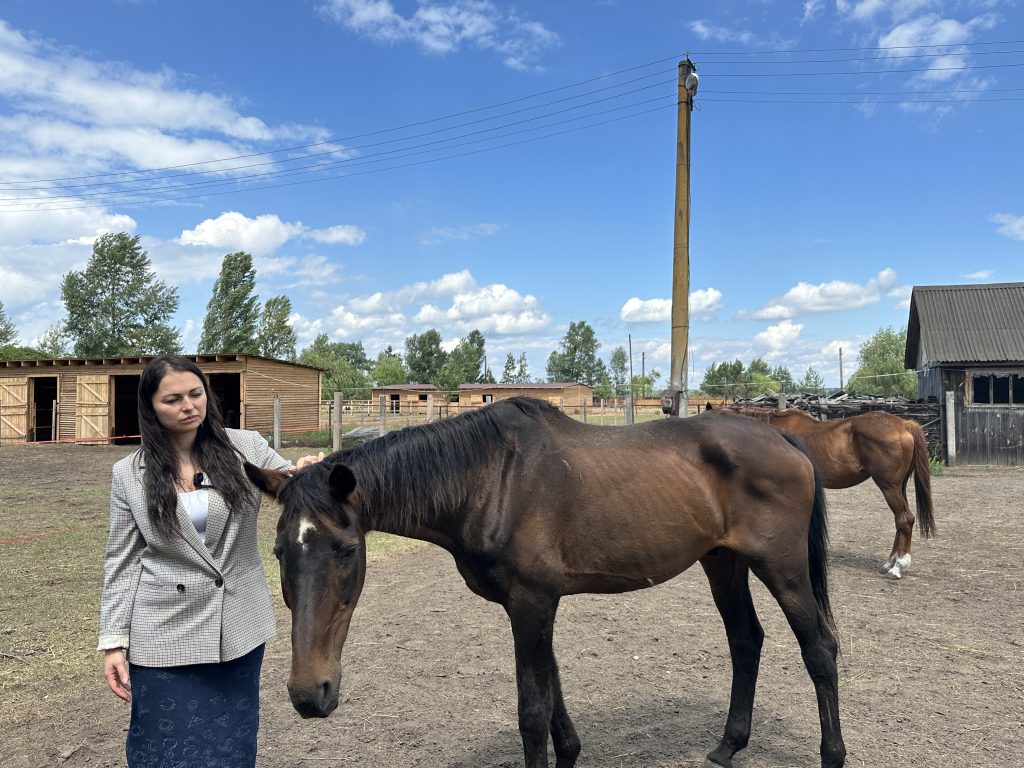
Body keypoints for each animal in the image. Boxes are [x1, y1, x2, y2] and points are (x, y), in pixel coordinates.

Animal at [243, 399, 843, 765]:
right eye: (278, 552)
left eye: (347, 550)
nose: (309, 694)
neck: (489, 480)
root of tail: (785, 439)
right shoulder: (534, 605)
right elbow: (552, 696)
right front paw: (571, 752)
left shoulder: (531, 603)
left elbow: (532, 711)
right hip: (723, 562)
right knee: (745, 640)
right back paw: (728, 746)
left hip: (782, 568)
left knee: (819, 648)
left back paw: (831, 753)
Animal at [724, 409, 933, 577]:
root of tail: (903, 424)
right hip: (899, 486)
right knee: (900, 520)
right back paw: (890, 562)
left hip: (889, 486)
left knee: (904, 519)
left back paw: (898, 566)